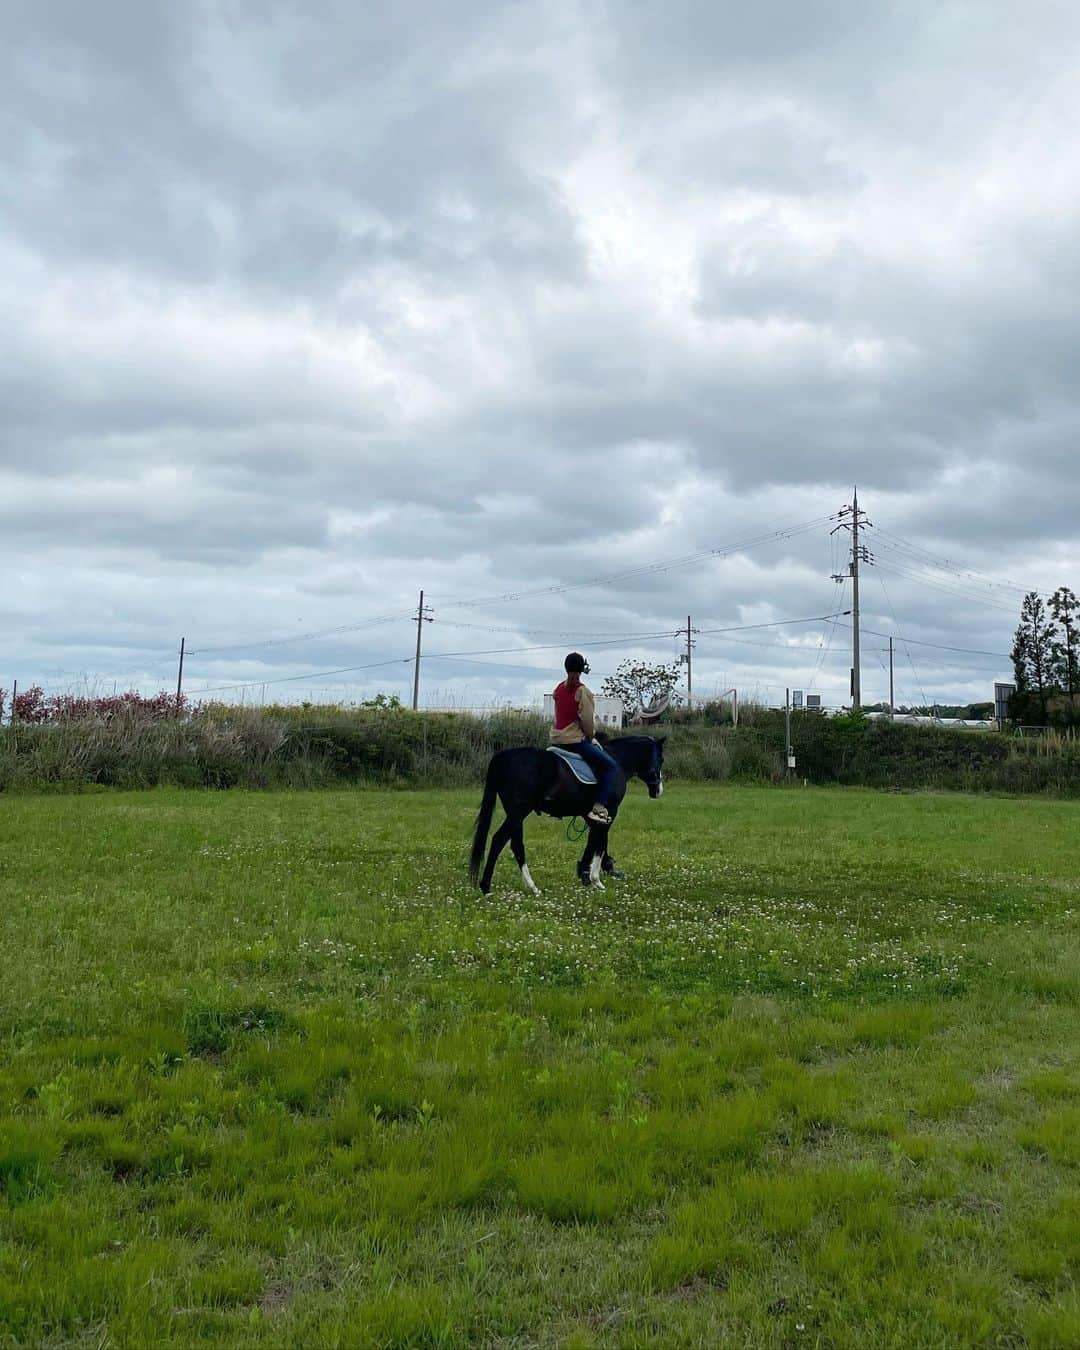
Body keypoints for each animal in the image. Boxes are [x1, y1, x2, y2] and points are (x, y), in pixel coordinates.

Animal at [467, 739, 661, 896]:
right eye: (660, 759)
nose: (658, 790)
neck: (617, 761)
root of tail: (502, 757)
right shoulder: (610, 812)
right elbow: (600, 842)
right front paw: (596, 879)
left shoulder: (590, 815)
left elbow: (593, 841)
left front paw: (585, 874)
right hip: (518, 812)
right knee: (505, 842)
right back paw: (523, 887)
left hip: (515, 814)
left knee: (504, 842)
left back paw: (490, 887)